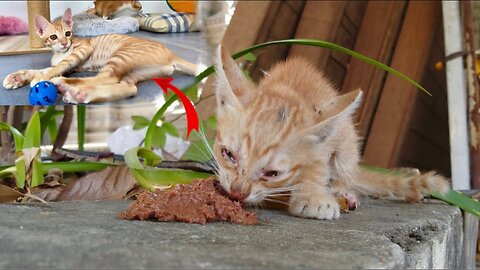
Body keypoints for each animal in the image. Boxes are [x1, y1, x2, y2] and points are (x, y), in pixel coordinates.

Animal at [1, 7, 197, 103]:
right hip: (135, 72)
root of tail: (172, 54)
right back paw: (80, 94)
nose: (64, 43)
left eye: (68, 33)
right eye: (53, 37)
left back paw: (66, 86)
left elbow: (53, 68)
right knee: (128, 88)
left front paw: (38, 79)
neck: (60, 52)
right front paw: (17, 77)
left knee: (106, 78)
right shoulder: (70, 66)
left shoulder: (80, 52)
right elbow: (43, 69)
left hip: (121, 57)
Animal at [212, 46, 452, 219]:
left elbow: (317, 167)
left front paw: (313, 196)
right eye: (227, 154)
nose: (236, 192)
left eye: (272, 174)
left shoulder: (324, 143)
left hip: (347, 145)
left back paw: (342, 193)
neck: (290, 89)